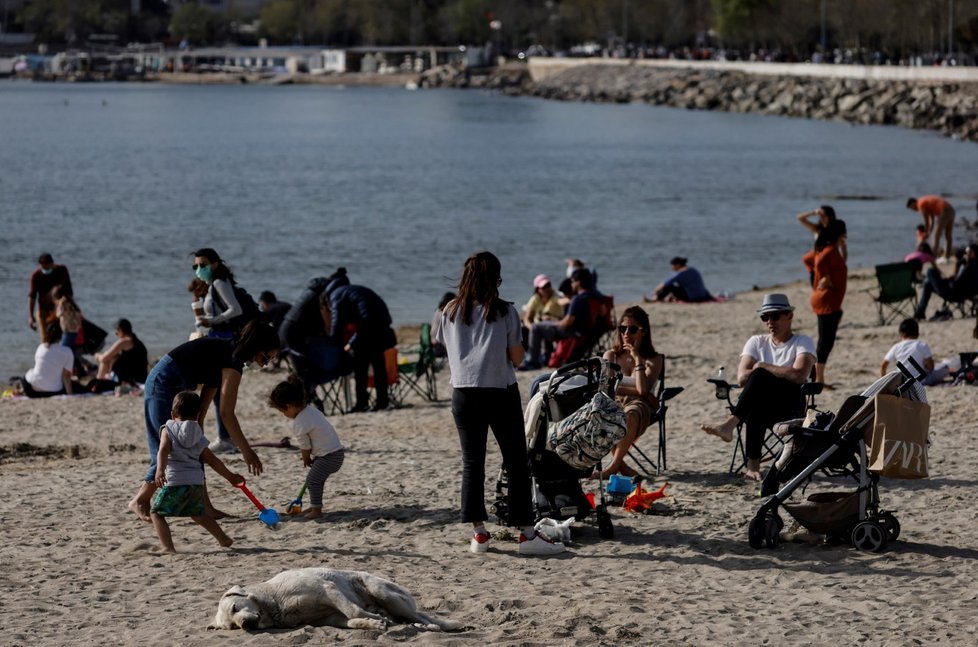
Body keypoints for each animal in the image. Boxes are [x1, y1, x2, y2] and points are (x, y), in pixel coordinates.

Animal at [208, 568, 460, 632]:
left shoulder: (328, 590)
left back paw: (433, 625)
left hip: (383, 591)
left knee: (421, 616)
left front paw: (373, 619)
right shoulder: (331, 618)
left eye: (235, 607)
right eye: (232, 627)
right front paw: (372, 623)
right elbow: (352, 620)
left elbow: (354, 610)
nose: (246, 625)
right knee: (409, 618)